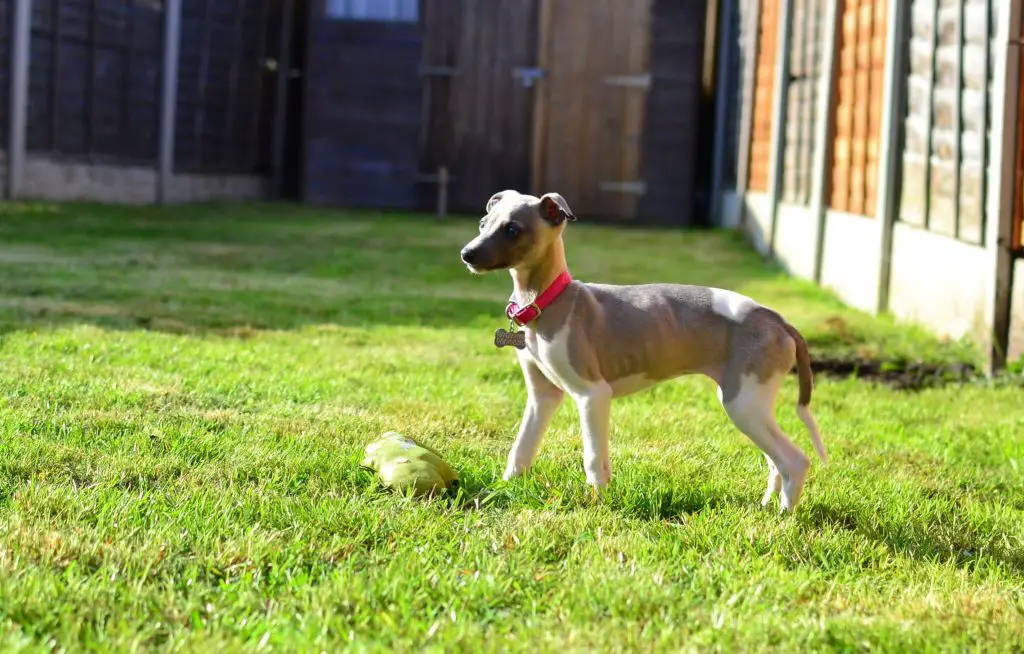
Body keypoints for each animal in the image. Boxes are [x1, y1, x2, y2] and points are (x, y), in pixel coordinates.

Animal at [460, 189, 827, 511]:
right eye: (483, 223)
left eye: (512, 229)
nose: (467, 254)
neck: (547, 302)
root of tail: (777, 320)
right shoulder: (543, 396)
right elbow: (522, 448)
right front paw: (503, 490)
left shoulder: (593, 395)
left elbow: (593, 458)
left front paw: (598, 505)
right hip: (752, 405)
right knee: (776, 461)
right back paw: (766, 507)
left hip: (744, 403)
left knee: (794, 460)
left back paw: (784, 517)